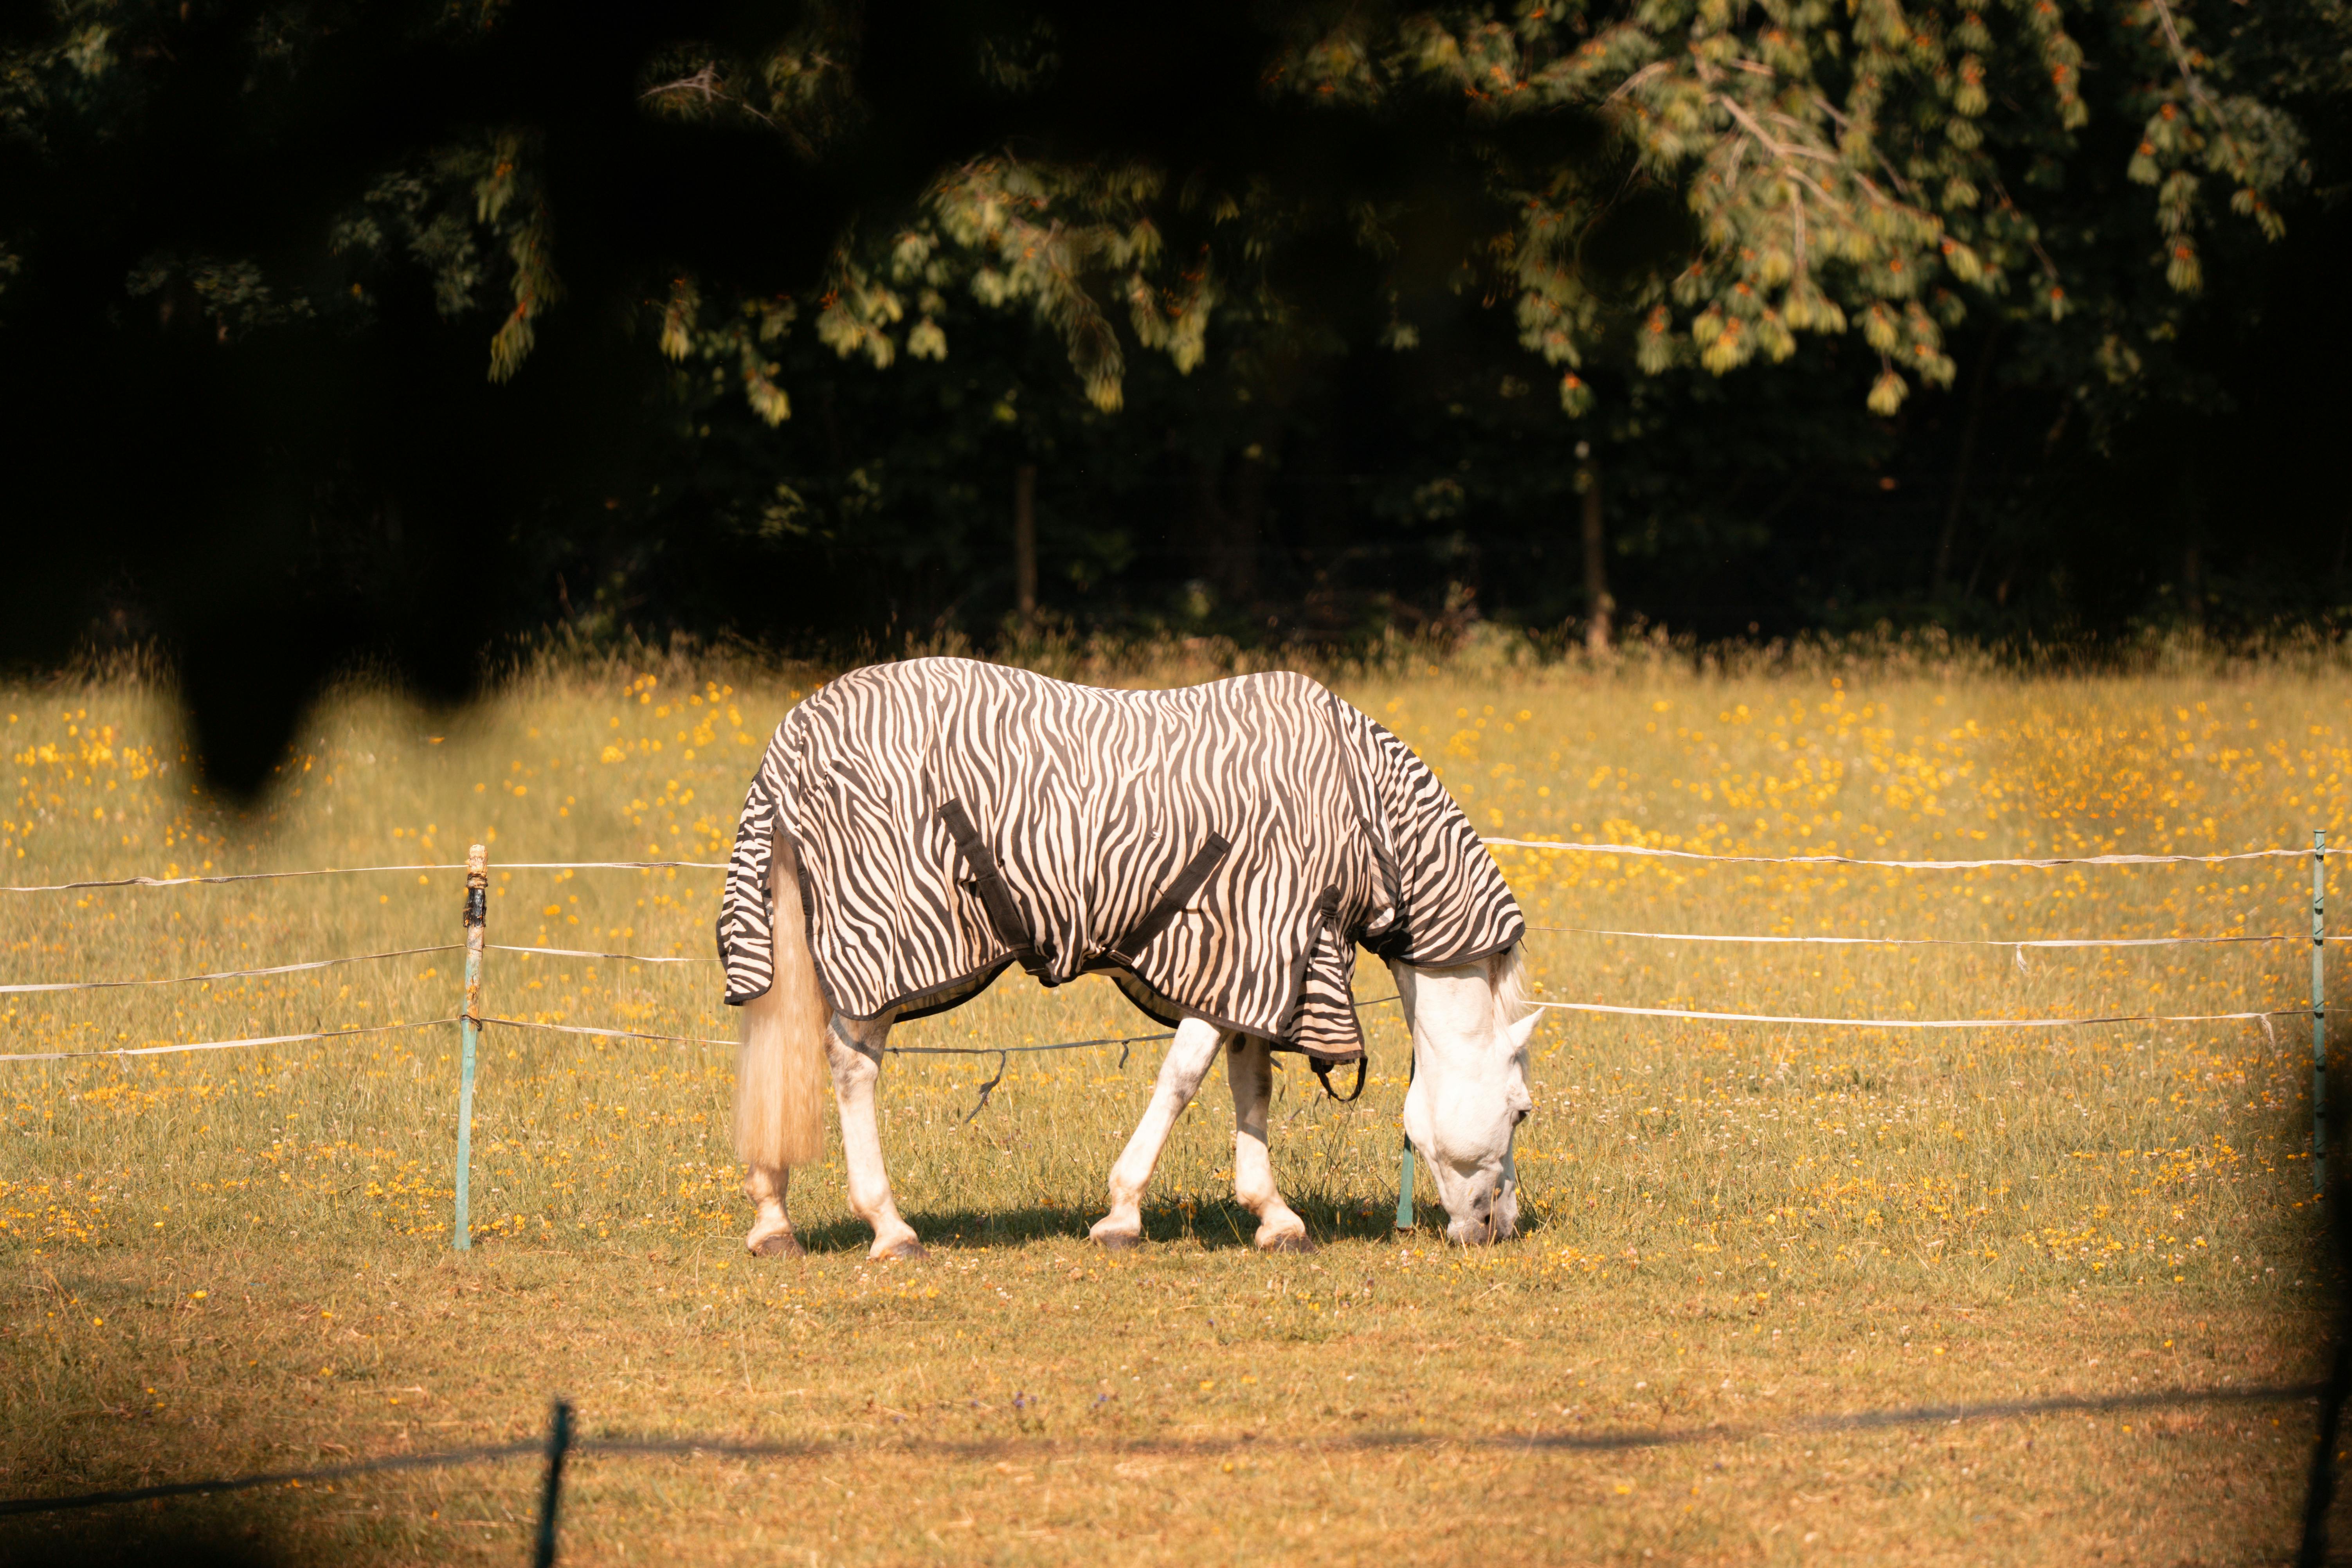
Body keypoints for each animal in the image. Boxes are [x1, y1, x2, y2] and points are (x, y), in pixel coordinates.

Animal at [717, 657, 1537, 1256]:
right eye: (1523, 1111)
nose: (1503, 1227)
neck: (1363, 811)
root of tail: (797, 731)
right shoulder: (1244, 947)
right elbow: (1181, 1080)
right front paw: (1122, 1212)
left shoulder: (1256, 971)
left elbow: (1251, 1087)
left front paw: (1273, 1215)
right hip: (880, 951)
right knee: (850, 1068)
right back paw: (889, 1227)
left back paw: (773, 1219)